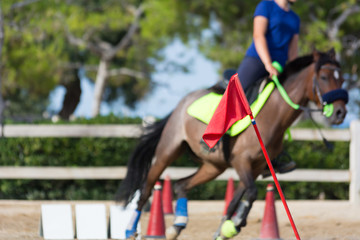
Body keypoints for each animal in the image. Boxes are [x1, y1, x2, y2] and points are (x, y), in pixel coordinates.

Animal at [116, 49, 348, 240]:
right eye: (324, 77)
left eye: (343, 79)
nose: (340, 113)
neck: (273, 115)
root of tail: (182, 103)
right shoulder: (241, 161)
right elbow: (251, 193)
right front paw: (233, 225)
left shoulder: (256, 167)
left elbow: (238, 198)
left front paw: (226, 228)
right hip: (167, 151)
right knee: (146, 190)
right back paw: (130, 231)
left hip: (213, 167)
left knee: (181, 185)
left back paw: (177, 226)